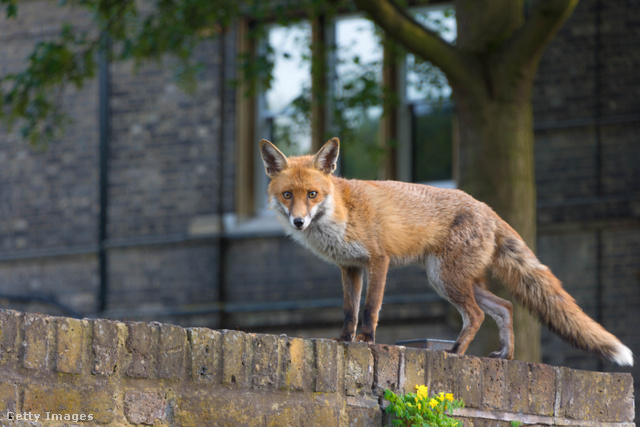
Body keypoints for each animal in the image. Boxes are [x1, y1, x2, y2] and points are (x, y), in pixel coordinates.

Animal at [260, 139, 636, 366]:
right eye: (287, 195)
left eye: (312, 194)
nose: (298, 221)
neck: (341, 213)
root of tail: (488, 208)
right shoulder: (350, 267)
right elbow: (348, 311)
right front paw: (342, 341)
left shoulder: (378, 261)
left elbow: (369, 309)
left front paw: (366, 341)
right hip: (454, 279)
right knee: (505, 306)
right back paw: (505, 354)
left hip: (444, 278)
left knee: (478, 315)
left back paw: (456, 352)